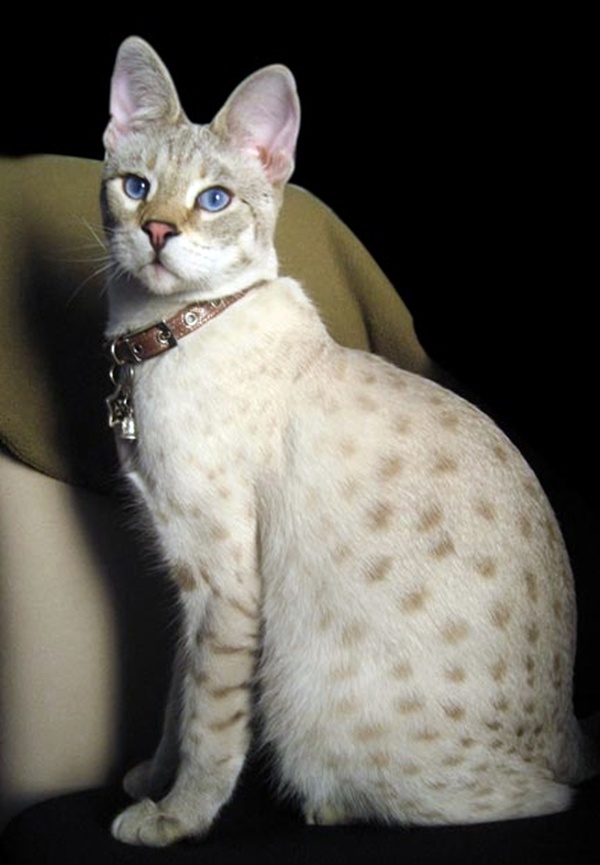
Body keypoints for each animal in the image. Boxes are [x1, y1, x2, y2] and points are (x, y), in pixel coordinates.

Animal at [102, 35, 596, 844]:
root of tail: (571, 733)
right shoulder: (188, 576)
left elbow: (210, 721)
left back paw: (327, 804)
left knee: (541, 797)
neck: (162, 337)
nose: (158, 231)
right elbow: (178, 697)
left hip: (309, 700)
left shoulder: (222, 578)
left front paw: (176, 817)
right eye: (135, 187)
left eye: (214, 200)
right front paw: (151, 780)